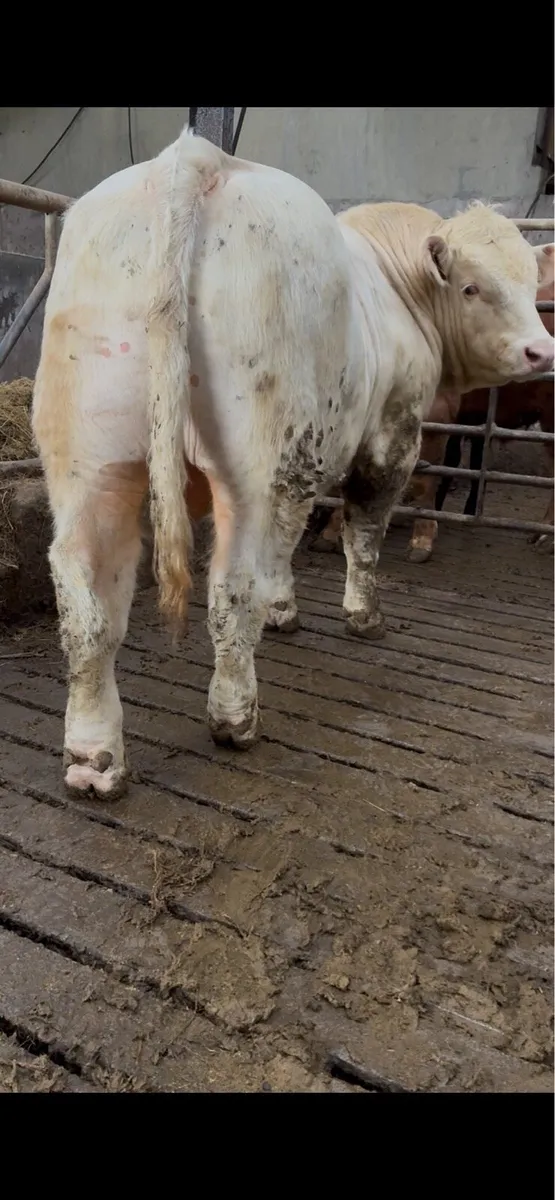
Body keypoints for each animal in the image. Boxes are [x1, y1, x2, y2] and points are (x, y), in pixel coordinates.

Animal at [32, 127, 554, 799]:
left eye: (530, 284)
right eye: (473, 287)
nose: (540, 350)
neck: (395, 283)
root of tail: (195, 158)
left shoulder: (305, 456)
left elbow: (292, 536)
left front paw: (283, 609)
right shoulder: (393, 432)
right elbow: (362, 531)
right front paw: (362, 615)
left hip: (92, 465)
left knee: (86, 599)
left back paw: (94, 758)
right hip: (246, 464)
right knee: (229, 584)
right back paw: (235, 718)